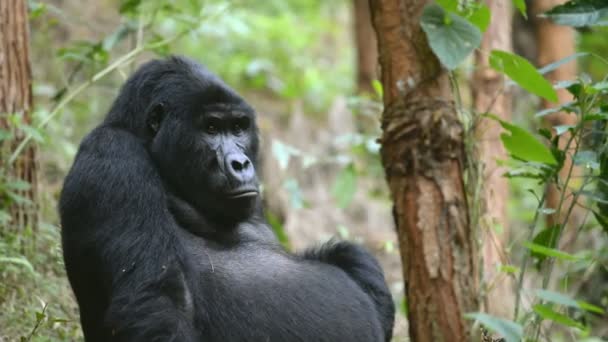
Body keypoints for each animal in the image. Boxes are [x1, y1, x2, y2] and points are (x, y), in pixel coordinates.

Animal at [59, 54, 394, 340]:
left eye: (238, 127)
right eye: (210, 128)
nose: (241, 163)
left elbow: (348, 255)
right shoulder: (114, 155)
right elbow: (156, 303)